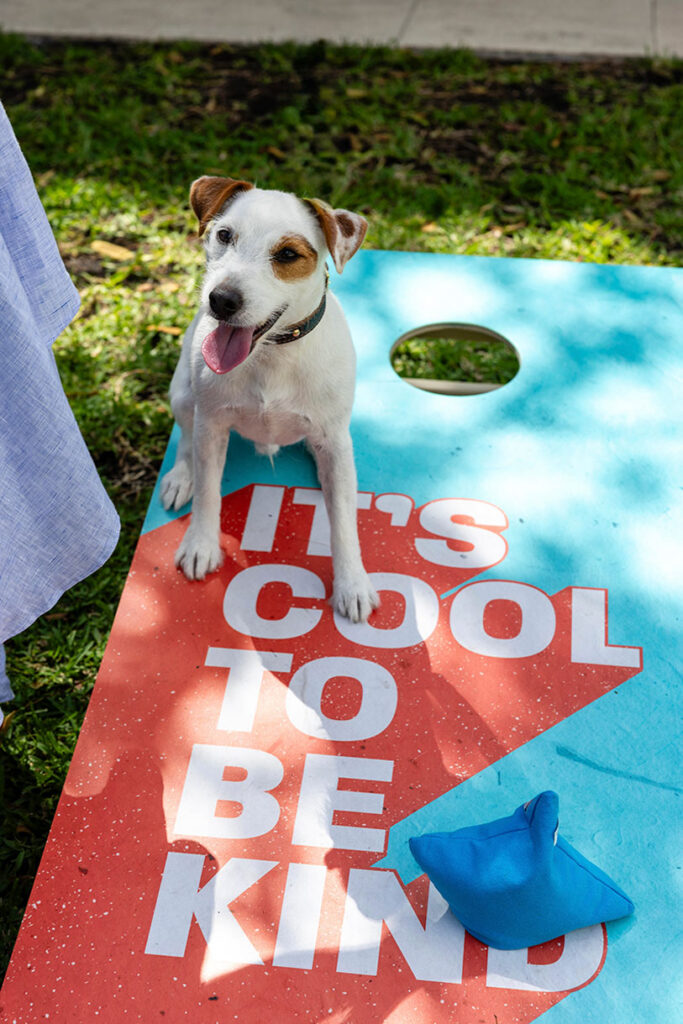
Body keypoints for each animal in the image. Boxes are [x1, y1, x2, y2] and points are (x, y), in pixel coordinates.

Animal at [160, 176, 379, 623]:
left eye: (288, 254)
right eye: (224, 235)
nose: (222, 300)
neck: (270, 354)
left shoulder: (335, 439)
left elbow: (344, 522)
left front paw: (351, 582)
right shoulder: (212, 425)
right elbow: (208, 490)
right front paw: (201, 544)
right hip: (183, 395)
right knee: (186, 437)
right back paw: (180, 476)